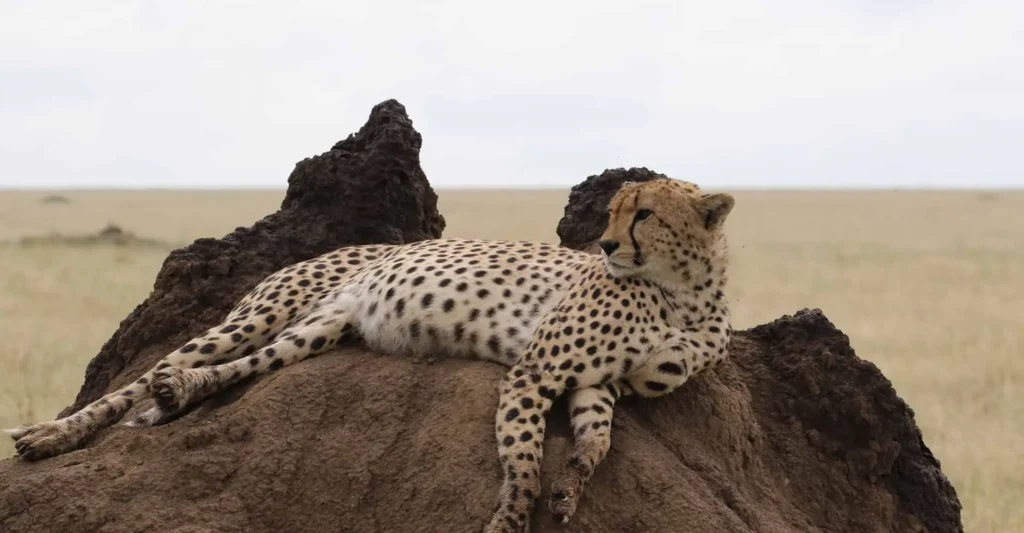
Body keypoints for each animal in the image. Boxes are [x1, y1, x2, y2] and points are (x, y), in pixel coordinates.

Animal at [6, 177, 735, 533]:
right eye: (614, 212)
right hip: (261, 311)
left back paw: (174, 399)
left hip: (317, 331)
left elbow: (597, 436)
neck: (685, 292)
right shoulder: (537, 367)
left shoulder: (598, 382)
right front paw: (511, 513)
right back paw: (50, 435)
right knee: (145, 375)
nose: (606, 246)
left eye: (643, 213)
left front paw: (571, 484)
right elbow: (523, 450)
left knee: (219, 371)